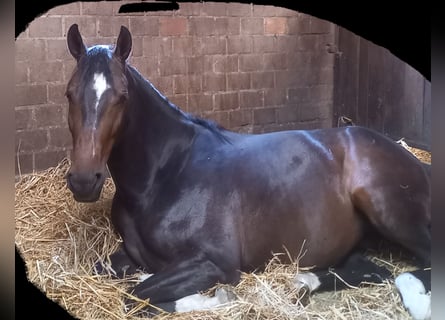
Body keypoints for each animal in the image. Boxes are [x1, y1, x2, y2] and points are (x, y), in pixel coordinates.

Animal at [64, 25, 428, 316]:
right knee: (367, 269)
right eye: (69, 94)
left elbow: (135, 296)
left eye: (121, 97)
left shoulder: (213, 263)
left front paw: (216, 298)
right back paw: (301, 281)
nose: (84, 181)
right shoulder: (130, 254)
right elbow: (112, 272)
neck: (167, 174)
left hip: (388, 210)